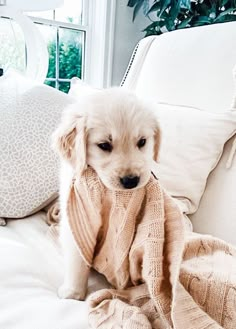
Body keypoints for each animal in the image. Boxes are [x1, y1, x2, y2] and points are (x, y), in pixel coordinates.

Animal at [53, 87, 160, 300]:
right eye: (104, 145)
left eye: (142, 142)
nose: (131, 181)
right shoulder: (78, 218)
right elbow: (77, 258)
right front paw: (74, 292)